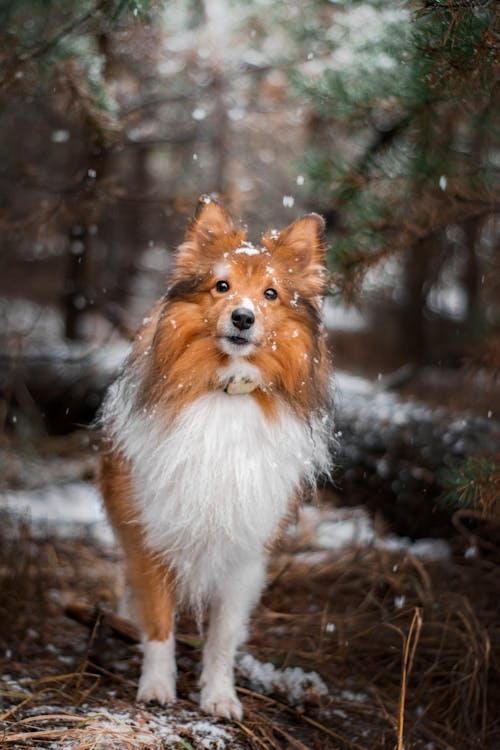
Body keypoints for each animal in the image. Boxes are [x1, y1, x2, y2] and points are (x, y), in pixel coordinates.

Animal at [97, 195, 332, 724]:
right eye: (221, 286)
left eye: (270, 294)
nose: (243, 318)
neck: (229, 389)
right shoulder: (151, 533)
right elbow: (159, 623)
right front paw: (157, 687)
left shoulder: (245, 549)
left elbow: (223, 636)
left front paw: (220, 697)